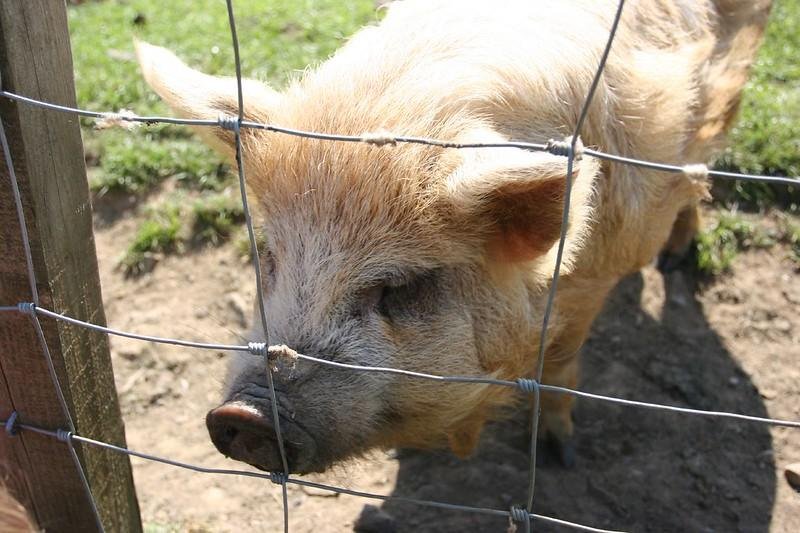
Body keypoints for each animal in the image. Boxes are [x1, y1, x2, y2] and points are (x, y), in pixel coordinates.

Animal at [134, 0, 772, 474]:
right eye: (268, 255)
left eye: (399, 286)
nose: (241, 416)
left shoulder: (596, 276)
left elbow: (561, 367)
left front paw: (560, 454)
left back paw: (677, 258)